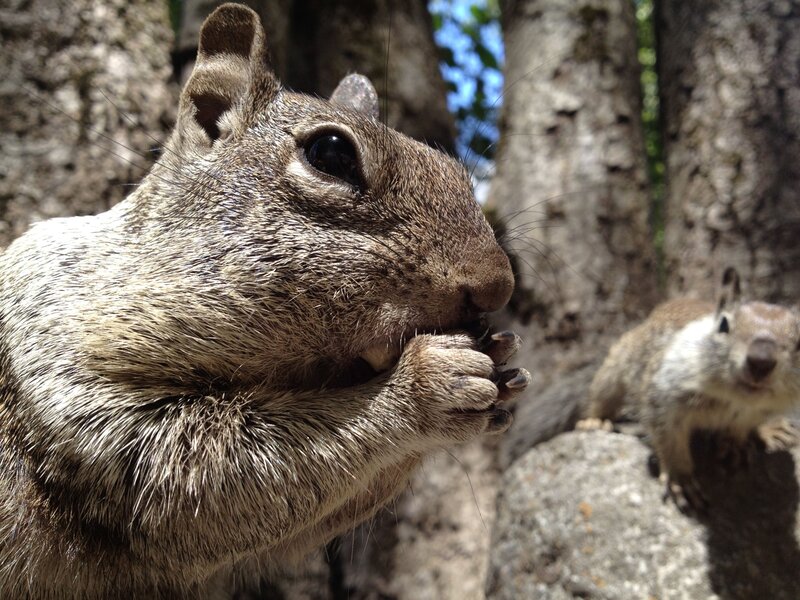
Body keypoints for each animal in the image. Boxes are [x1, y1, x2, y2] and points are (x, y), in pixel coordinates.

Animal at [0, 4, 530, 597]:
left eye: (459, 171)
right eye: (330, 153)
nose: (496, 285)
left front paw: (501, 361)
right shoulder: (67, 372)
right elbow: (199, 474)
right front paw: (430, 381)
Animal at [584, 267, 800, 511]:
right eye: (724, 325)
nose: (761, 361)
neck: (734, 400)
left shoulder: (757, 413)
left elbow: (741, 428)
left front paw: (735, 445)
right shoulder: (663, 395)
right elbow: (670, 441)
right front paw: (682, 481)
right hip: (616, 365)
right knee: (603, 397)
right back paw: (594, 421)